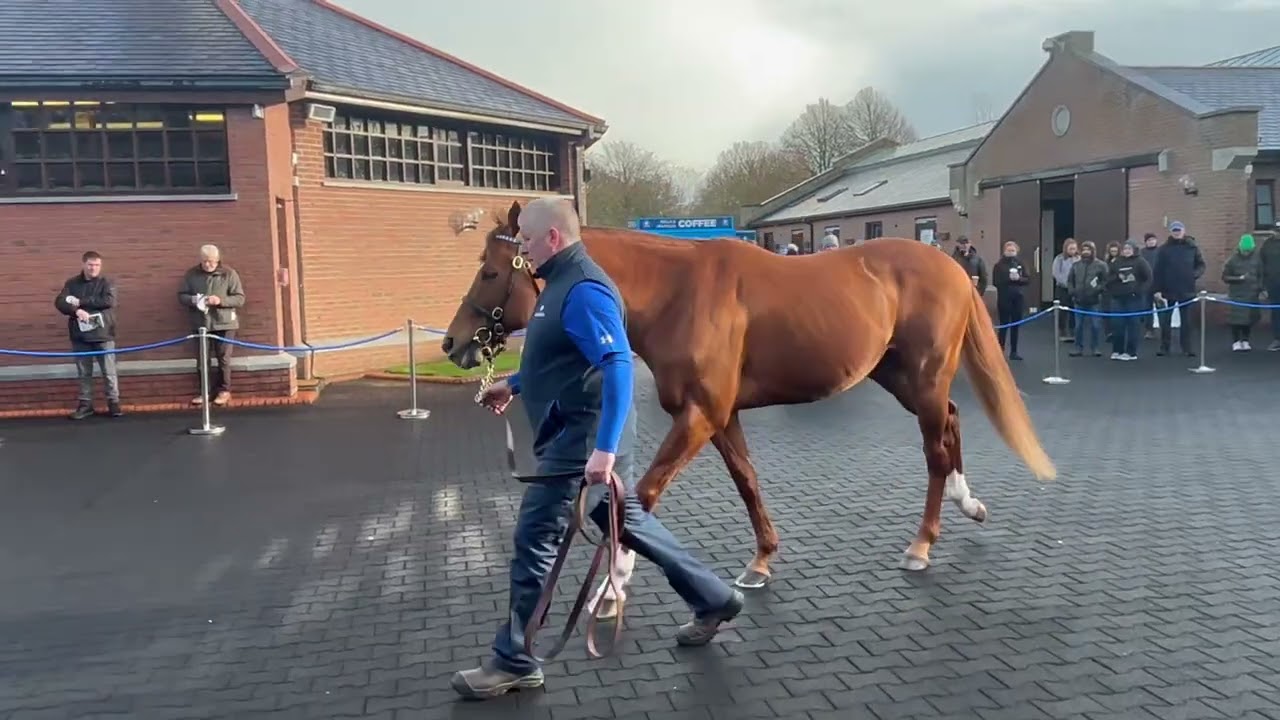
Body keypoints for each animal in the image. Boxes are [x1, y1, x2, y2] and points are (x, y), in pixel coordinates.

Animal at [441, 200, 1055, 610]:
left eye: (490, 271)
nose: (453, 342)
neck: (678, 293)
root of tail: (953, 267)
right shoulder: (721, 417)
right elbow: (747, 481)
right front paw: (761, 561)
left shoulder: (699, 416)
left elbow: (643, 494)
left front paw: (613, 585)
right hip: (899, 377)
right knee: (949, 423)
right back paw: (967, 503)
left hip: (923, 378)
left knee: (934, 448)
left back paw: (922, 543)